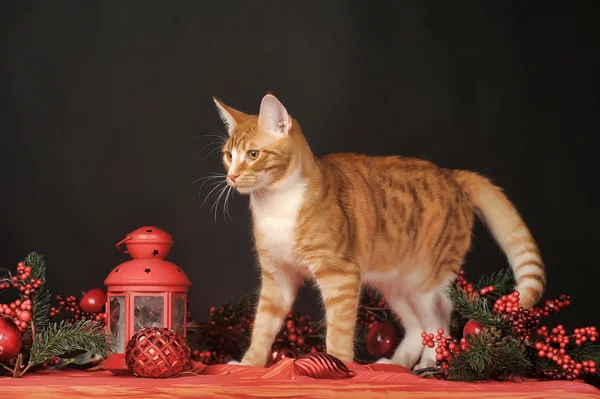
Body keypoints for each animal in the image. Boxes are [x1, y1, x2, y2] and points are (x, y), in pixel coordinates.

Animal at [211, 93, 544, 368]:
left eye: (253, 155)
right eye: (229, 155)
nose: (232, 176)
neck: (277, 206)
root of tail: (453, 175)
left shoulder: (341, 276)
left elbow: (339, 329)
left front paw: (337, 366)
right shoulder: (277, 277)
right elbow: (262, 326)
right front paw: (249, 365)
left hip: (427, 280)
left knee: (440, 320)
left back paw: (430, 363)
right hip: (395, 286)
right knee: (417, 327)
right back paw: (397, 364)